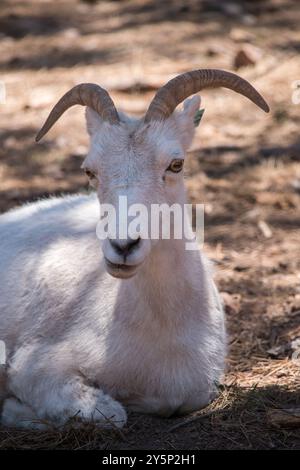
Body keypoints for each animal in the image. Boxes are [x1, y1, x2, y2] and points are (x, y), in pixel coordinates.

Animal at [0, 70, 268, 430]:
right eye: (90, 171)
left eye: (176, 164)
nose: (123, 245)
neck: (162, 334)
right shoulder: (37, 365)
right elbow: (111, 414)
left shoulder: (196, 390)